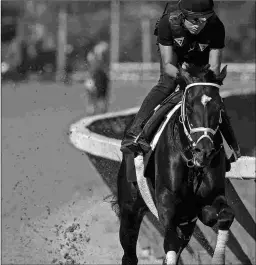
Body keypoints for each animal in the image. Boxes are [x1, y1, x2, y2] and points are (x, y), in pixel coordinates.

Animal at [115, 63, 235, 262]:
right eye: (190, 106)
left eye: (219, 106)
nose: (204, 151)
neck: (191, 163)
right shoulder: (167, 207)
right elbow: (170, 243)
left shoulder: (210, 199)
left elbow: (224, 216)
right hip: (129, 209)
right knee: (129, 254)